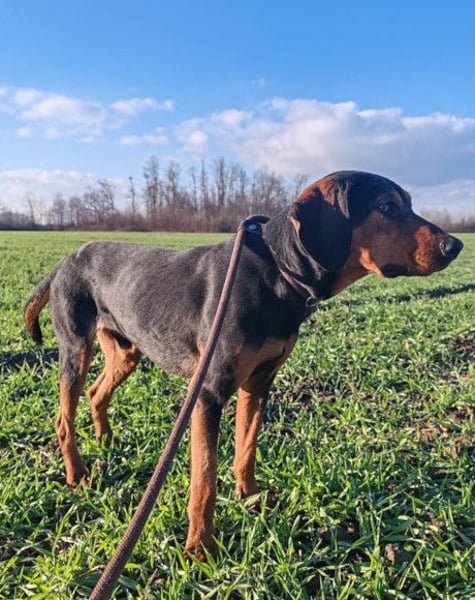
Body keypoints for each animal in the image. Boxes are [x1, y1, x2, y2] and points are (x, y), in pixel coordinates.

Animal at [24, 170, 463, 560]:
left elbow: (246, 449)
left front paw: (250, 499)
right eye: (386, 207)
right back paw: (78, 474)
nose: (455, 246)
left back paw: (106, 440)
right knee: (63, 418)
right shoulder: (209, 394)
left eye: (408, 202)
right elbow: (204, 479)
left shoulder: (259, 383)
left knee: (97, 392)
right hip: (75, 349)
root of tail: (63, 261)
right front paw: (200, 548)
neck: (278, 273)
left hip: (126, 350)